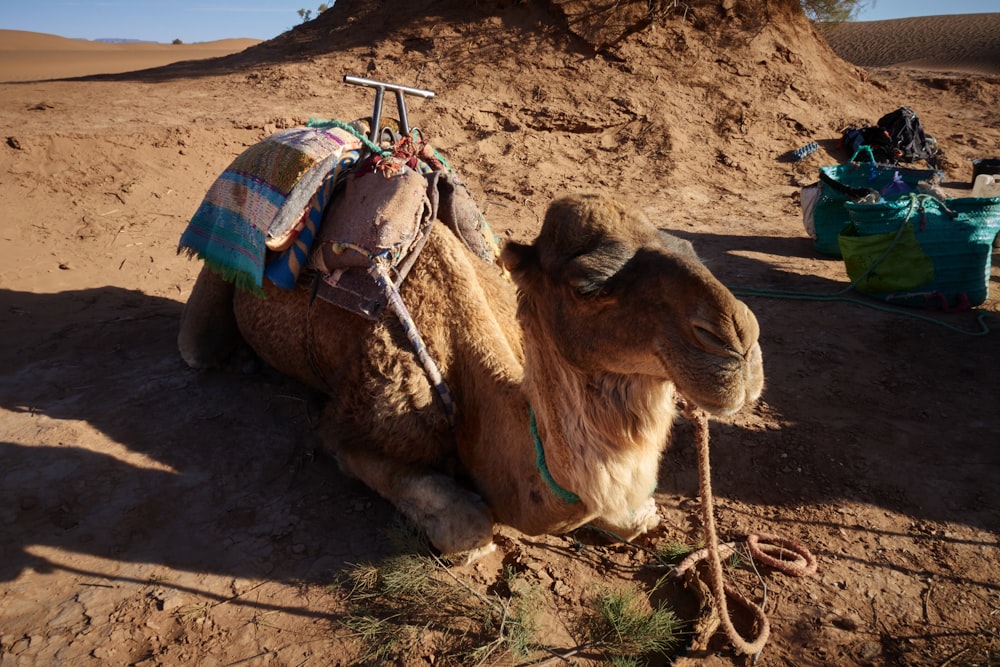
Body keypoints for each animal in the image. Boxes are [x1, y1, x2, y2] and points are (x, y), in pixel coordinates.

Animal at [176, 192, 760, 560]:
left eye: (690, 248)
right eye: (587, 286)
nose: (740, 344)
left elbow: (641, 515)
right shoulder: (350, 426)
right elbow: (470, 526)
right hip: (208, 302)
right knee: (197, 349)